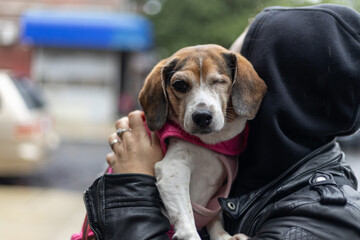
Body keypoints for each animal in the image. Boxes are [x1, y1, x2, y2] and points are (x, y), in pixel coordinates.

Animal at [139, 44, 266, 239]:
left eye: (219, 81)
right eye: (180, 85)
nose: (202, 116)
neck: (210, 143)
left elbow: (215, 219)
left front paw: (223, 236)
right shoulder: (172, 170)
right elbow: (187, 223)